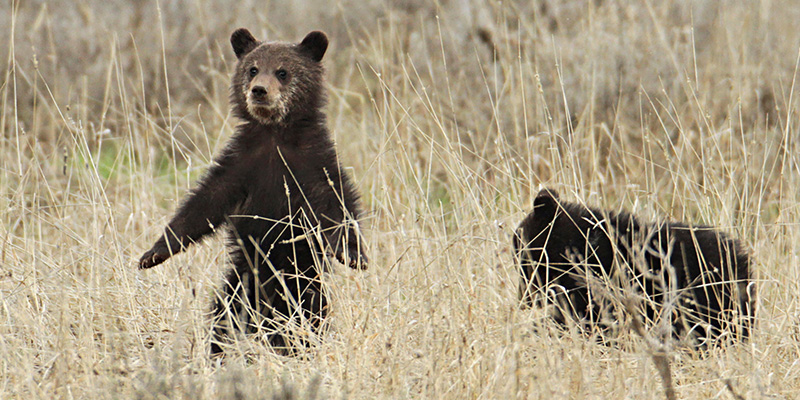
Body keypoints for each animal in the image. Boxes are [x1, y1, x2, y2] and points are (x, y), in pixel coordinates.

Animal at [139, 28, 367, 355]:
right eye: (253, 69)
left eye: (283, 71)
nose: (259, 91)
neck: (275, 135)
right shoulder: (241, 166)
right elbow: (201, 206)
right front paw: (153, 254)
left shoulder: (311, 165)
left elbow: (337, 205)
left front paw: (353, 255)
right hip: (241, 281)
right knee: (224, 315)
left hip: (304, 284)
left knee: (312, 317)